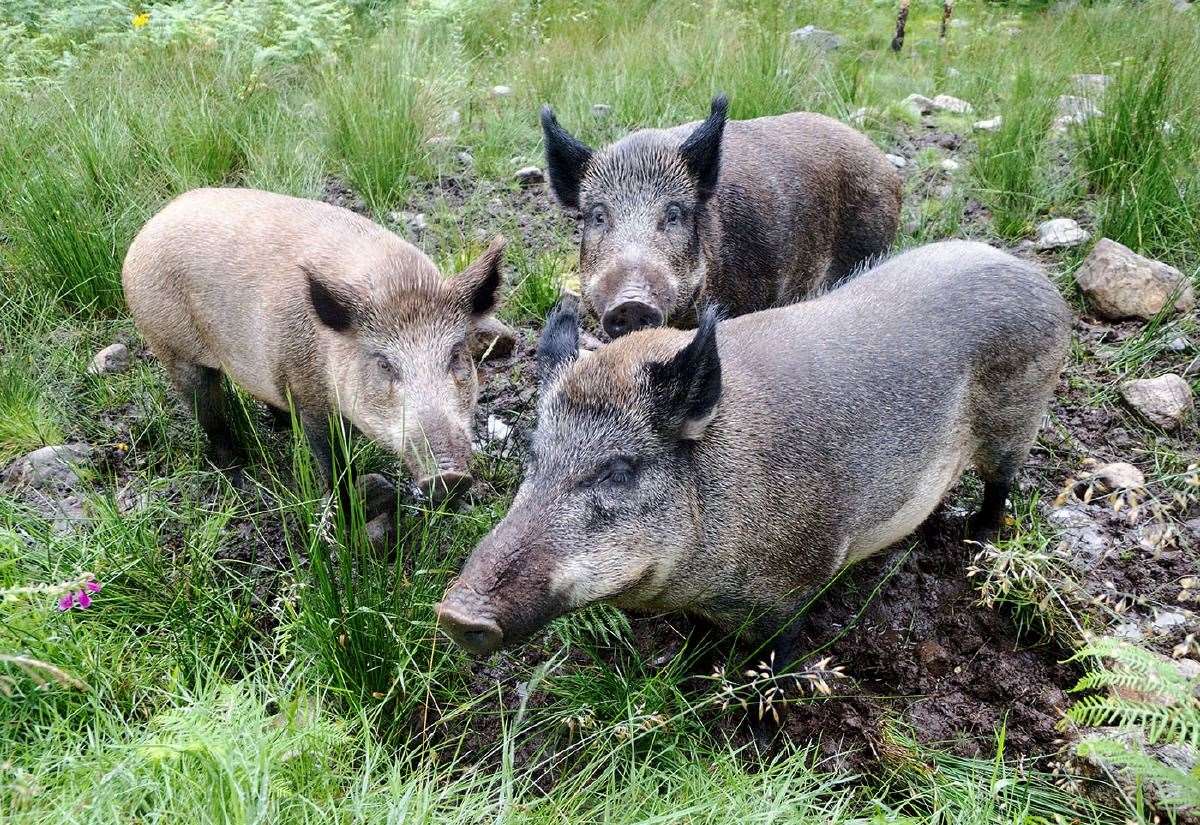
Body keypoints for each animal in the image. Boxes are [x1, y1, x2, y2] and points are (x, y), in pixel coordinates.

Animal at [122, 187, 507, 500]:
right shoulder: (309, 397)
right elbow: (332, 462)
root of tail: (150, 226)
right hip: (170, 346)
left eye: (456, 355)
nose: (450, 476)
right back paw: (240, 477)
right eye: (383, 363)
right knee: (208, 415)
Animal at [436, 241, 1070, 666]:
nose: (455, 613)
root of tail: (1037, 277)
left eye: (618, 470)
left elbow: (778, 659)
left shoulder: (797, 587)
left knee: (1002, 483)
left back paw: (978, 535)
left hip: (1019, 418)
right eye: (534, 455)